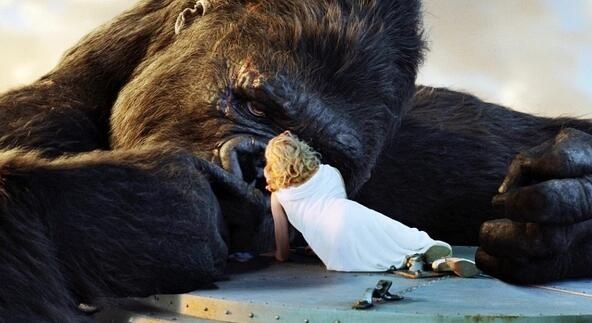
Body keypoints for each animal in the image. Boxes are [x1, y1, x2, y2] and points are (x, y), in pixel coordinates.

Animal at [1, 0, 592, 322]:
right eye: (258, 106)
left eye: (322, 156)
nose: (258, 176)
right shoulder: (35, 118)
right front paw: (154, 205)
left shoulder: (420, 140)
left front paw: (567, 208)